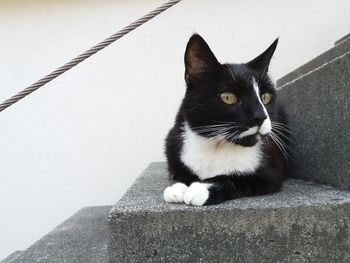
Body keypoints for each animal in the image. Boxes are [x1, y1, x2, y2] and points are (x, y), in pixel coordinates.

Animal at [164, 33, 290, 206]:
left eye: (265, 97)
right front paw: (177, 188)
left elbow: (239, 178)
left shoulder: (270, 173)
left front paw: (201, 188)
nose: (261, 116)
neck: (215, 144)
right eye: (228, 97)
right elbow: (180, 172)